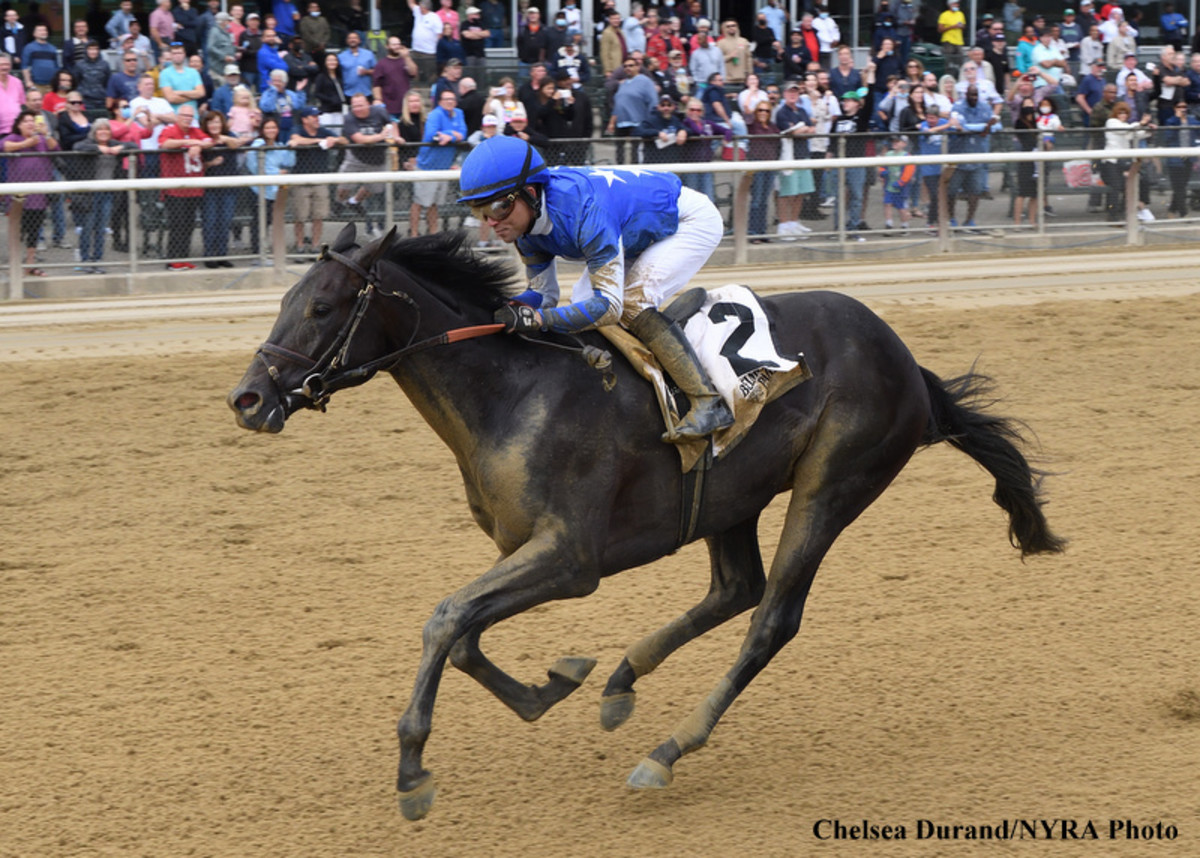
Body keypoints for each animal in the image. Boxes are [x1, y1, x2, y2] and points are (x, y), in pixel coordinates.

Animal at [227, 225, 1065, 821]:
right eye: (285, 301)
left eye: (323, 307)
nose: (247, 398)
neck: (513, 389)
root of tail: (908, 362)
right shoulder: (524, 550)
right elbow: (464, 634)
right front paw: (558, 682)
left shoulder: (571, 559)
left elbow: (445, 618)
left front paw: (412, 772)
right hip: (732, 494)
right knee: (735, 588)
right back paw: (622, 681)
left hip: (832, 484)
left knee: (771, 618)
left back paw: (666, 750)